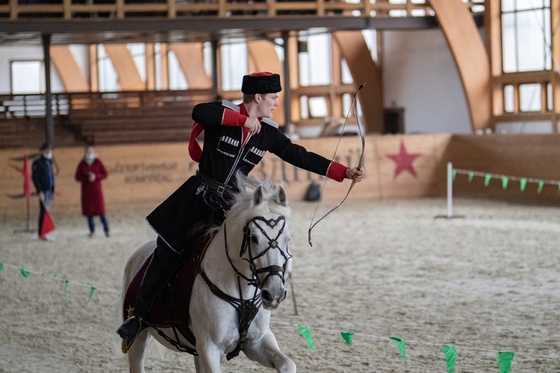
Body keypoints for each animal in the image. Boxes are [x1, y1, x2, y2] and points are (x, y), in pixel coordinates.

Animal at [118, 177, 298, 372]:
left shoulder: (257, 342)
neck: (240, 292)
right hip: (138, 338)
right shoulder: (210, 348)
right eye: (253, 238)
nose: (274, 294)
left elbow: (288, 364)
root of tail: (135, 256)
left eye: (287, 239)